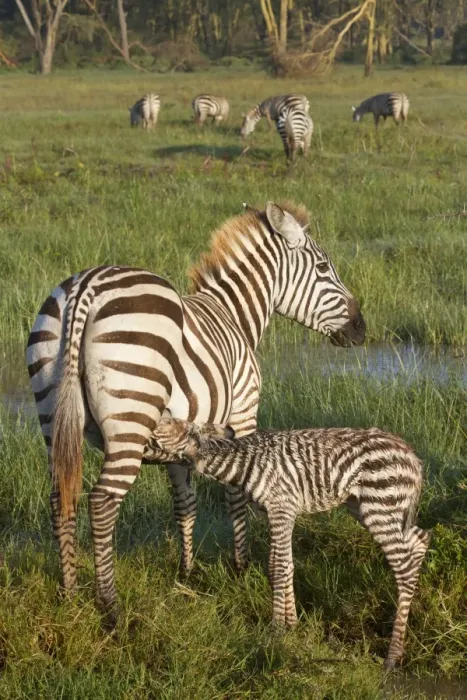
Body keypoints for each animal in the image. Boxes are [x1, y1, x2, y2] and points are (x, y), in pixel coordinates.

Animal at [27, 201, 365, 617]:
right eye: (322, 268)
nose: (361, 328)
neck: (233, 316)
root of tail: (85, 287)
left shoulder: (179, 436)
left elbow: (184, 502)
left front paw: (186, 570)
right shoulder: (243, 413)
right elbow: (237, 493)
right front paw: (241, 566)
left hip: (51, 413)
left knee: (61, 496)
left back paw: (70, 592)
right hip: (128, 420)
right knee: (103, 501)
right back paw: (109, 605)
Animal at [151, 418, 430, 671]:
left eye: (165, 427)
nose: (147, 428)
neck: (242, 463)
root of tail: (412, 456)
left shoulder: (281, 508)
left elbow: (277, 567)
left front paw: (275, 631)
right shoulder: (279, 513)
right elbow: (286, 566)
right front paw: (292, 625)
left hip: (379, 507)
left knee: (403, 568)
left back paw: (393, 655)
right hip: (369, 507)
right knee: (420, 540)